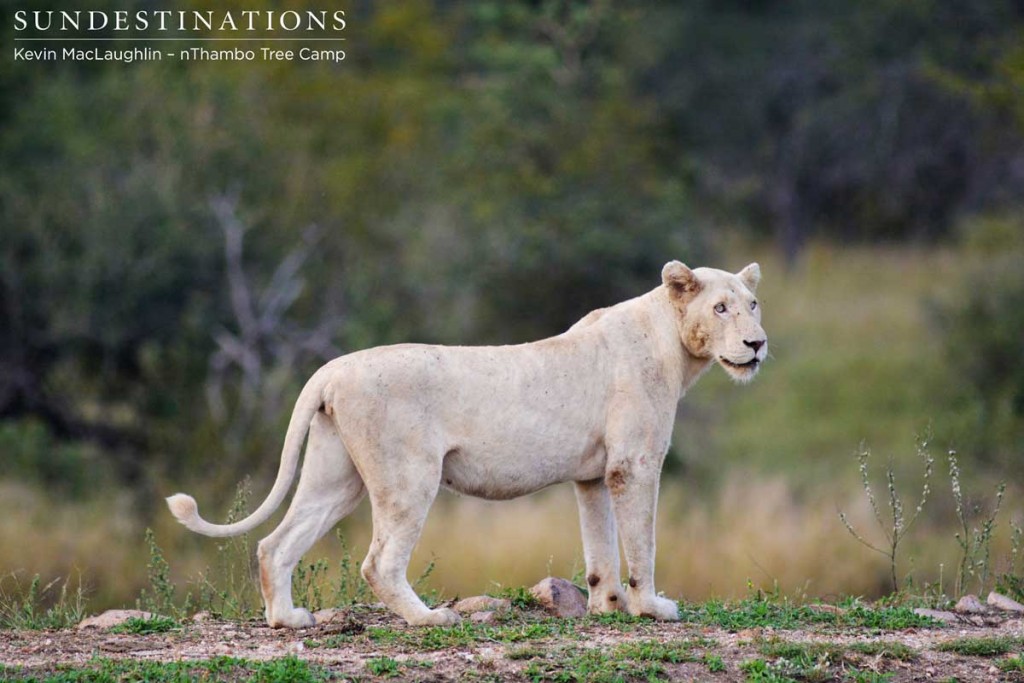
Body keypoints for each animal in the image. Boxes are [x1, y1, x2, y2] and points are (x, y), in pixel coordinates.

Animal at [165, 262, 770, 630]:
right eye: (720, 308)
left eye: (754, 304)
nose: (757, 343)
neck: (676, 347)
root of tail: (330, 369)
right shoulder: (634, 464)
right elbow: (641, 542)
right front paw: (652, 607)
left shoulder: (593, 475)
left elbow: (600, 548)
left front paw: (605, 606)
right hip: (409, 477)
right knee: (378, 562)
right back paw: (430, 619)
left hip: (336, 477)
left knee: (276, 543)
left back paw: (287, 620)